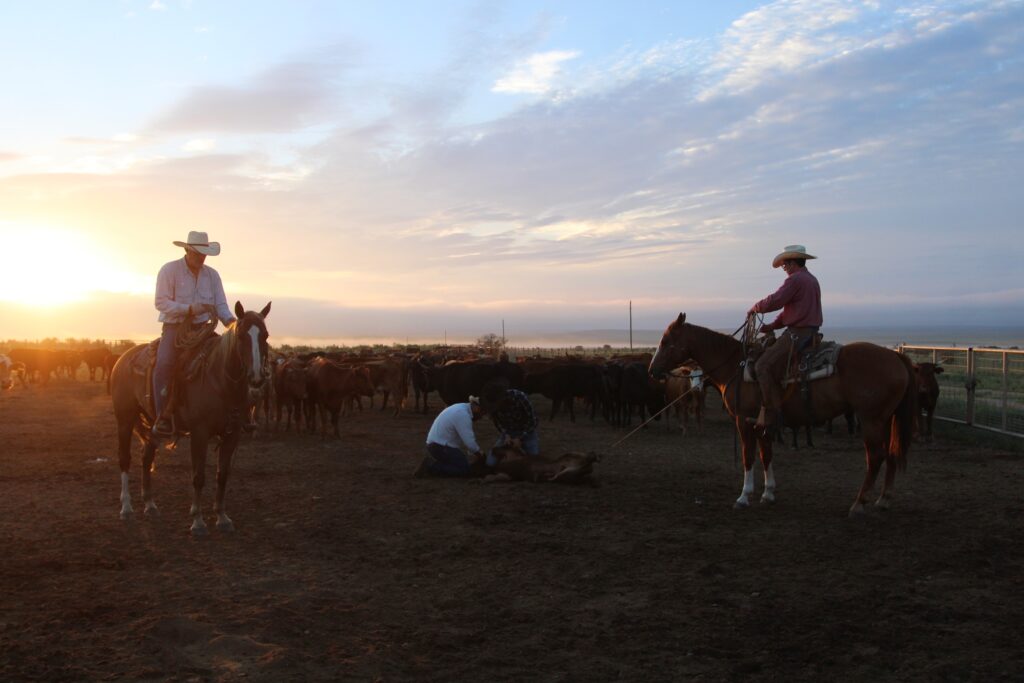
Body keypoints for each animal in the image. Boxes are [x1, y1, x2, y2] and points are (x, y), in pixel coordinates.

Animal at [111, 303, 272, 532]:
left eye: (265, 335)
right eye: (241, 335)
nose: (257, 377)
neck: (221, 382)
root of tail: (123, 358)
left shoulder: (232, 435)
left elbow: (222, 475)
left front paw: (222, 517)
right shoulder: (199, 433)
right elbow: (198, 476)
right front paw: (197, 520)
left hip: (152, 425)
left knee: (146, 457)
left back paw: (150, 505)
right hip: (124, 419)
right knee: (124, 458)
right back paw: (126, 507)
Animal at [651, 313, 917, 516]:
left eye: (666, 341)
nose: (652, 370)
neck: (735, 367)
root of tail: (896, 355)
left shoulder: (743, 421)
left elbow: (748, 456)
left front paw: (744, 496)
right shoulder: (761, 422)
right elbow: (766, 454)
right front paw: (768, 492)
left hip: (871, 420)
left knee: (875, 457)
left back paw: (859, 503)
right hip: (886, 419)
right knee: (890, 453)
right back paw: (883, 499)